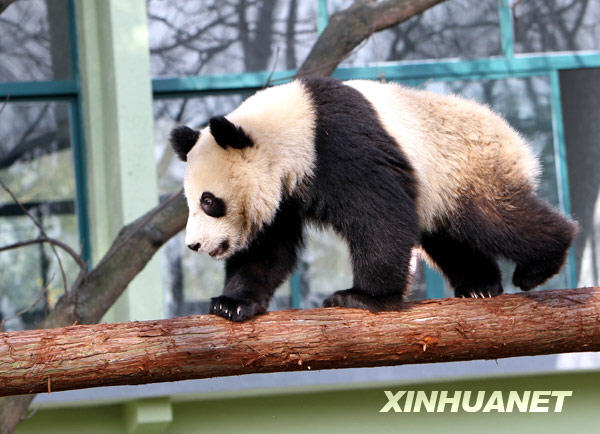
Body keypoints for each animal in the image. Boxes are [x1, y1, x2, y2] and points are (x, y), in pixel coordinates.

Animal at [170, 77, 576, 322]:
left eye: (209, 201)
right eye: (191, 202)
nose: (194, 245)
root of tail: (512, 136)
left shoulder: (337, 144)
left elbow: (379, 216)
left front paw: (362, 297)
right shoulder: (283, 191)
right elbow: (267, 249)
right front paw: (232, 303)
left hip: (467, 166)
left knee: (495, 219)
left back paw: (540, 263)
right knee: (448, 236)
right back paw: (480, 286)